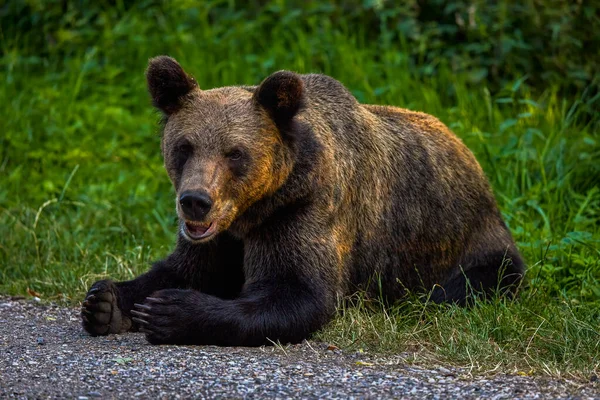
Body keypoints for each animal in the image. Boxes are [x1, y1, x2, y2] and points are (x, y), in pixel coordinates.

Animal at [81, 54, 524, 346]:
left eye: (234, 153)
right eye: (184, 146)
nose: (195, 201)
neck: (250, 212)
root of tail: (470, 155)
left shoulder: (303, 210)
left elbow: (298, 292)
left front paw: (170, 311)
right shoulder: (220, 237)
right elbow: (183, 267)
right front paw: (105, 302)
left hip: (470, 242)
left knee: (474, 283)